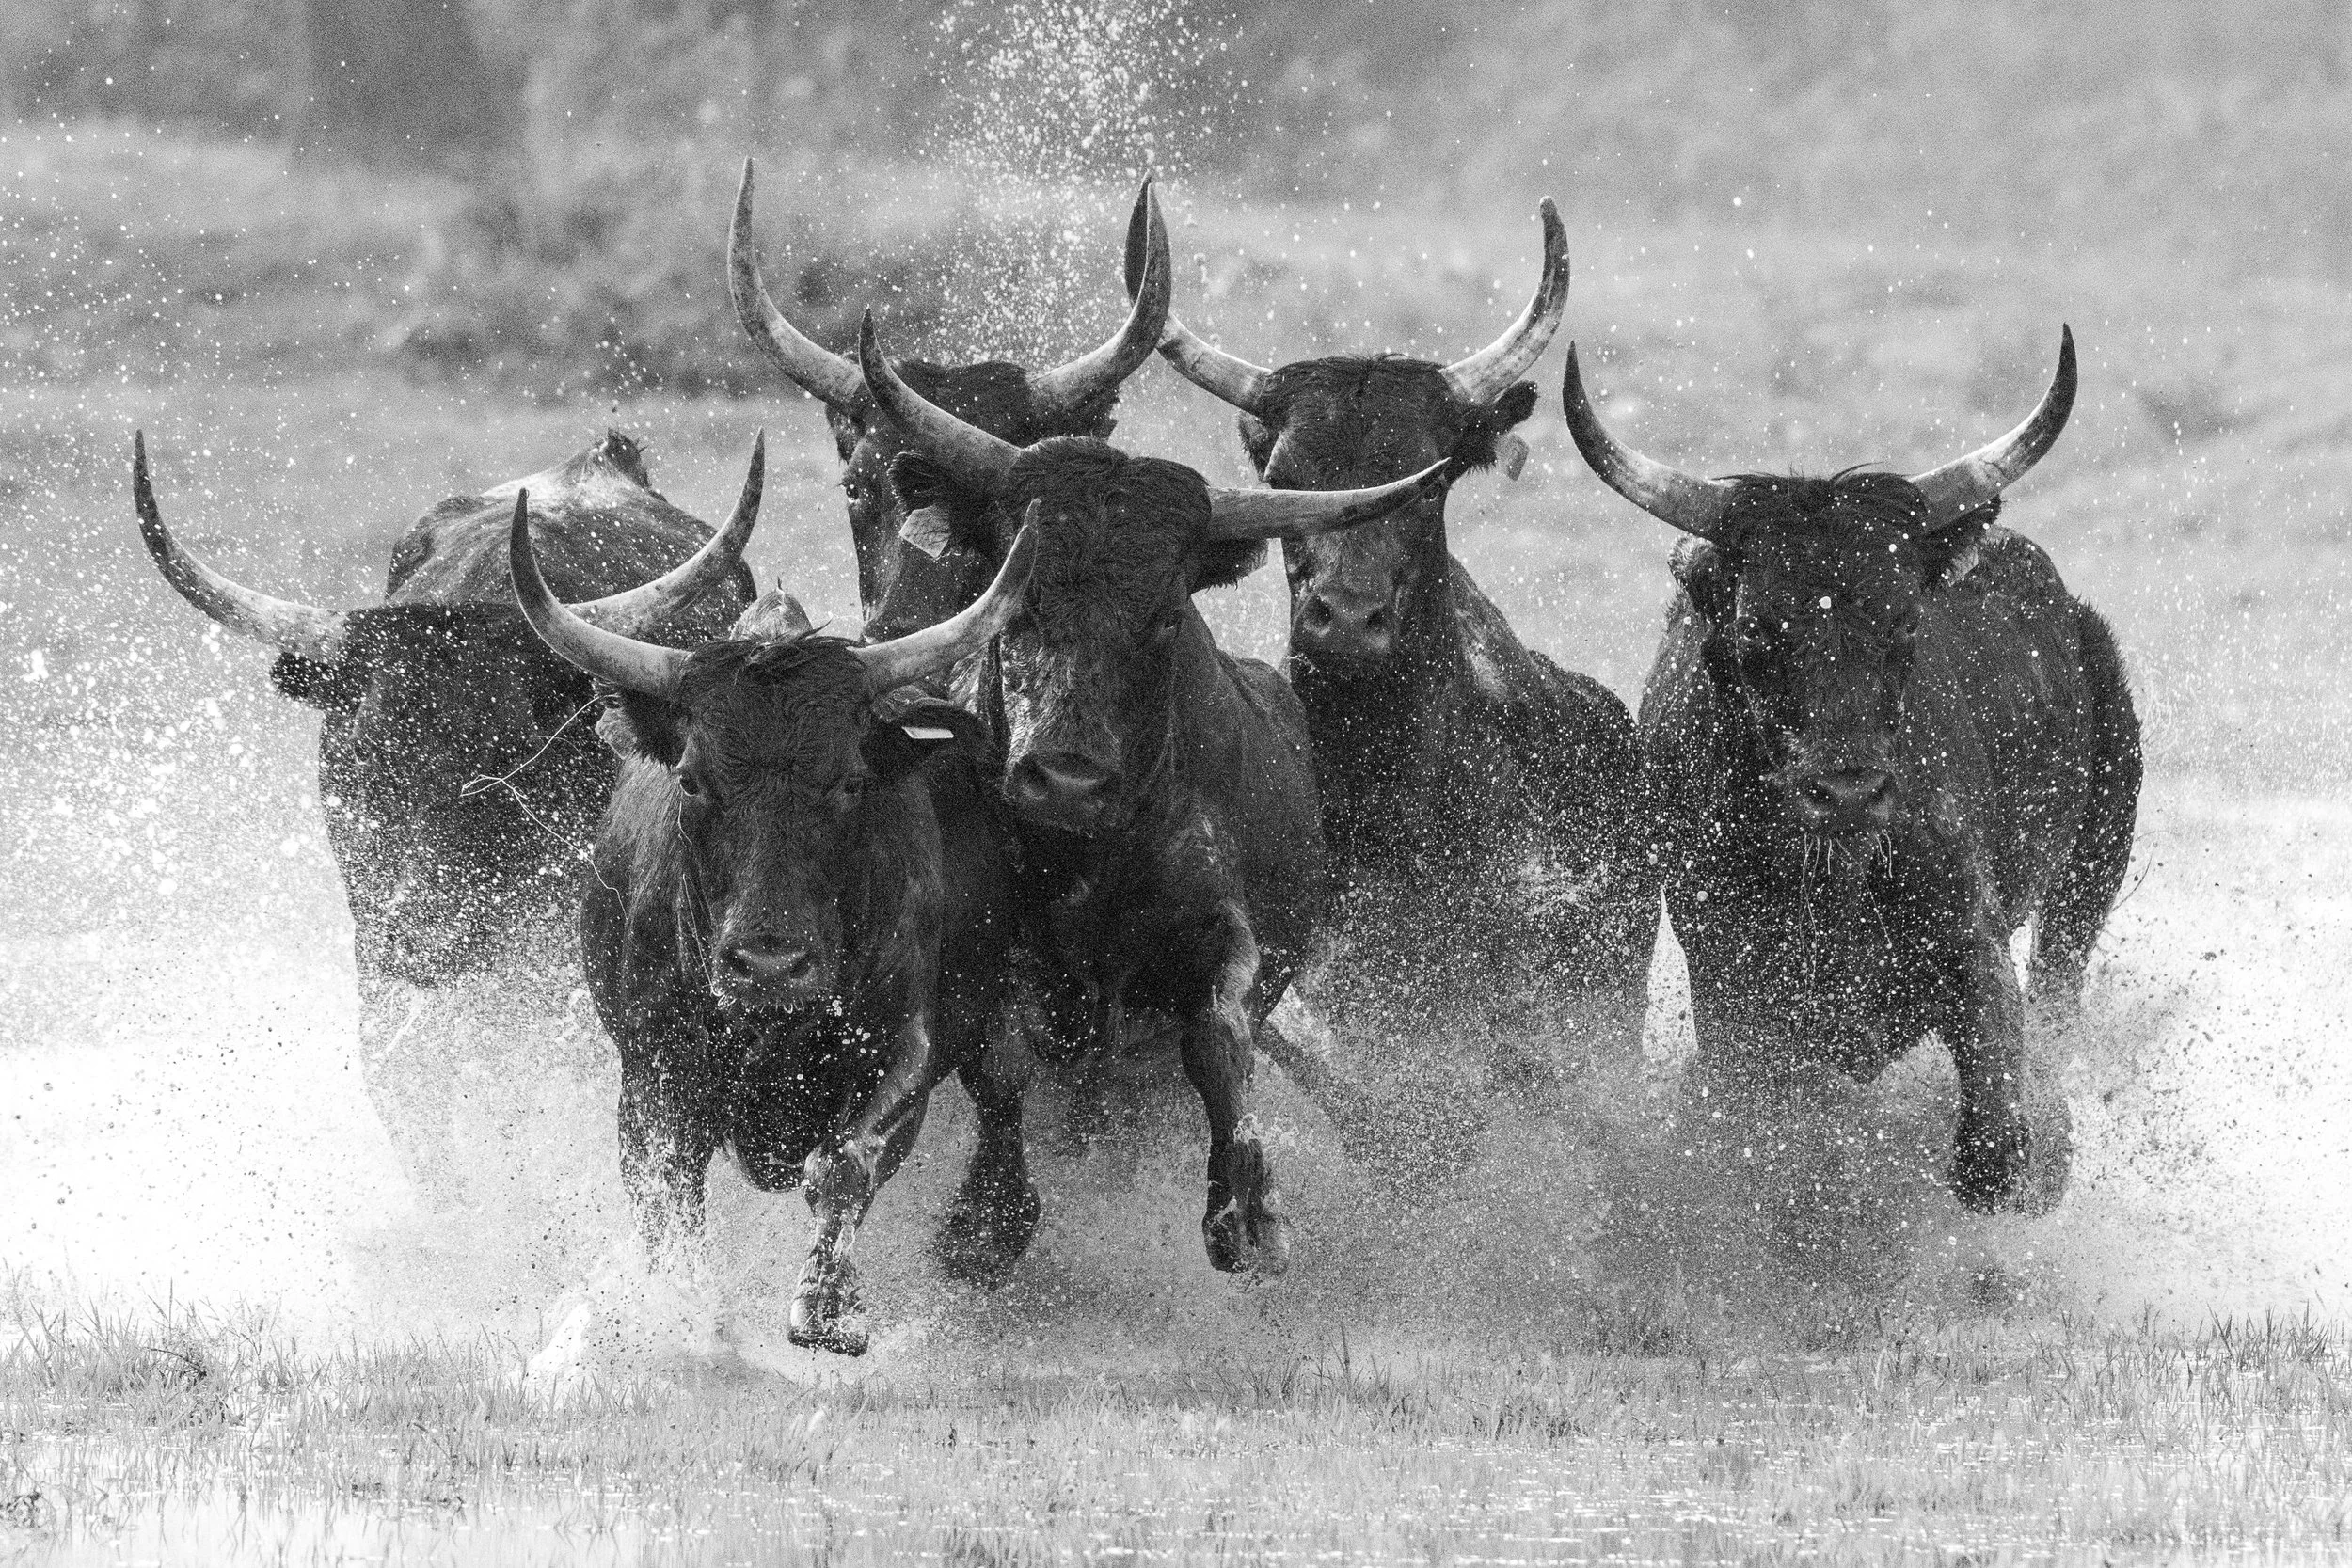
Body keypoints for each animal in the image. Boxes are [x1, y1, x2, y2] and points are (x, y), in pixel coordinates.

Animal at [509, 496, 1039, 1353]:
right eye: (692, 779)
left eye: (851, 780)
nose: (769, 964)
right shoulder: (652, 1072)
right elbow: (667, 1194)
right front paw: (680, 1308)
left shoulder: (905, 1044)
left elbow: (846, 1160)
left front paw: (829, 1307)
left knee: (1003, 1086)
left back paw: (984, 1236)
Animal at [856, 312, 1462, 1274]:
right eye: (1015, 600)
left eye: (1167, 614)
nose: (1065, 780)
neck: (1089, 856)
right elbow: (1000, 1063)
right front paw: (986, 1221)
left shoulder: (1221, 930)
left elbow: (1218, 1036)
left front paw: (1247, 1205)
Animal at [1562, 326, 2140, 1213]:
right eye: (1757, 628)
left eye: (1903, 618)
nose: (1847, 791)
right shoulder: (1733, 995)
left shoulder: (1969, 934)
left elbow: (1992, 1150)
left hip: (2095, 859)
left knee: (2059, 984)